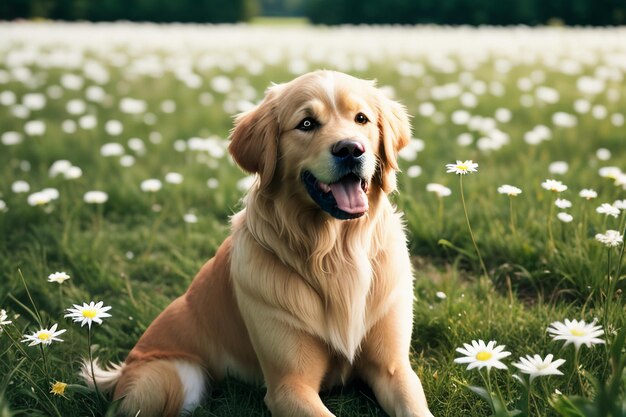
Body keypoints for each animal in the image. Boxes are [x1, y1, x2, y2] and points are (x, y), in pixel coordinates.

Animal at [85, 70, 432, 416]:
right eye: (306, 123)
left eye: (361, 119)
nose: (350, 149)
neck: (334, 252)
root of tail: (121, 374)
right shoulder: (289, 385)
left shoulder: (394, 368)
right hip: (176, 375)